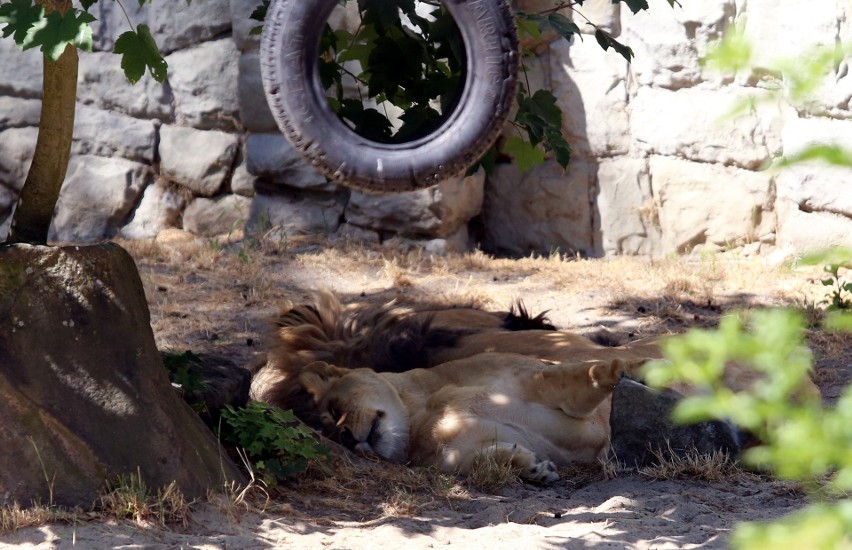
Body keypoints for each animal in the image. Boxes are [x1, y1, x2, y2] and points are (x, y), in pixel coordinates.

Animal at [296, 354, 636, 484]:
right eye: (330, 432)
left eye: (336, 409)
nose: (345, 437)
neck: (421, 411)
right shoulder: (454, 456)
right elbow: (487, 459)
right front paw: (534, 468)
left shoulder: (528, 380)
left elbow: (571, 376)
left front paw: (616, 369)